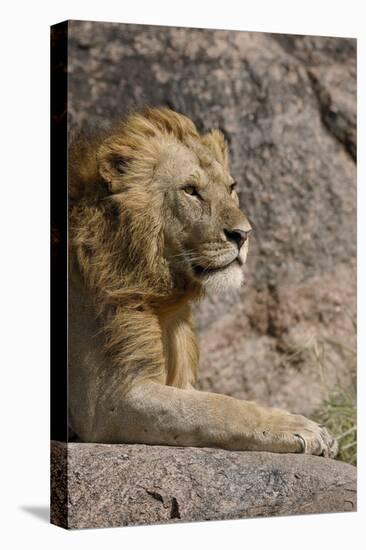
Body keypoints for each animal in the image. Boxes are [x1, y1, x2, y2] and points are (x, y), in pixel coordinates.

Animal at [68, 105, 338, 460]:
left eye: (231, 187)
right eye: (191, 191)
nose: (243, 235)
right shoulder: (107, 401)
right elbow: (219, 408)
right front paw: (300, 427)